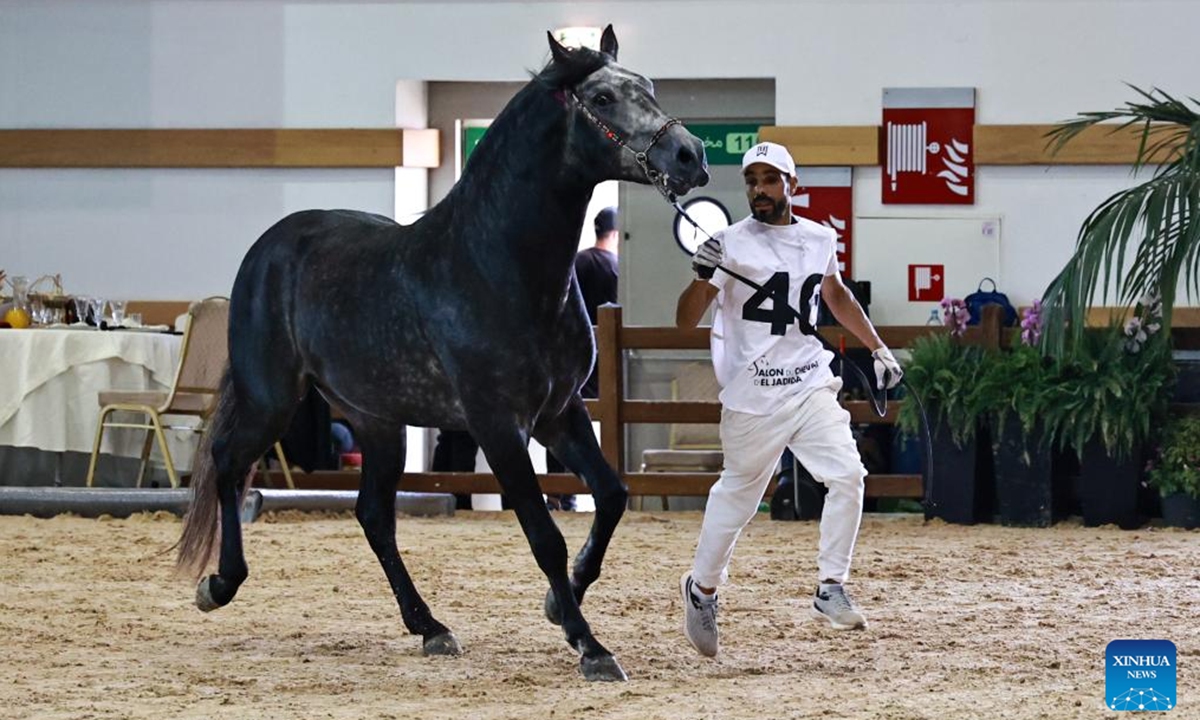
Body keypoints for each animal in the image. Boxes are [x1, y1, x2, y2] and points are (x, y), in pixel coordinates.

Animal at [174, 26, 705, 681]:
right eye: (603, 97)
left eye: (648, 86)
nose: (689, 154)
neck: (496, 267)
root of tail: (270, 246)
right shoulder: (499, 427)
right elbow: (543, 535)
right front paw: (591, 646)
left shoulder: (560, 414)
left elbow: (610, 496)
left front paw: (560, 604)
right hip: (271, 397)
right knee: (227, 461)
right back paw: (219, 584)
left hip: (378, 420)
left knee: (373, 515)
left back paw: (429, 627)